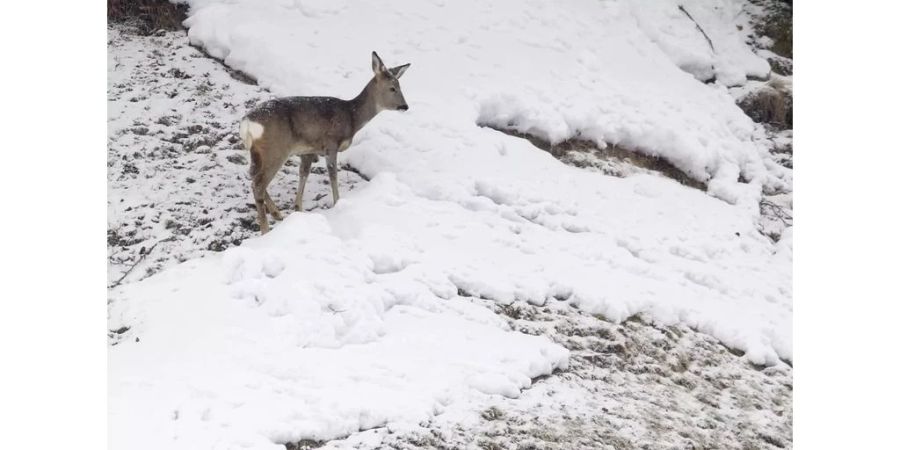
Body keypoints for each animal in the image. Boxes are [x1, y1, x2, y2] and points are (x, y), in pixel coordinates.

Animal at [237, 51, 410, 234]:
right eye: (392, 88)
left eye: (400, 86)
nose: (405, 106)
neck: (352, 117)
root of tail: (247, 123)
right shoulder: (331, 143)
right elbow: (332, 174)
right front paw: (337, 203)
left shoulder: (308, 150)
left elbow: (304, 173)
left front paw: (298, 207)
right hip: (276, 149)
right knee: (258, 184)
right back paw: (265, 230)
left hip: (258, 152)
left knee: (253, 177)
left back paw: (277, 213)